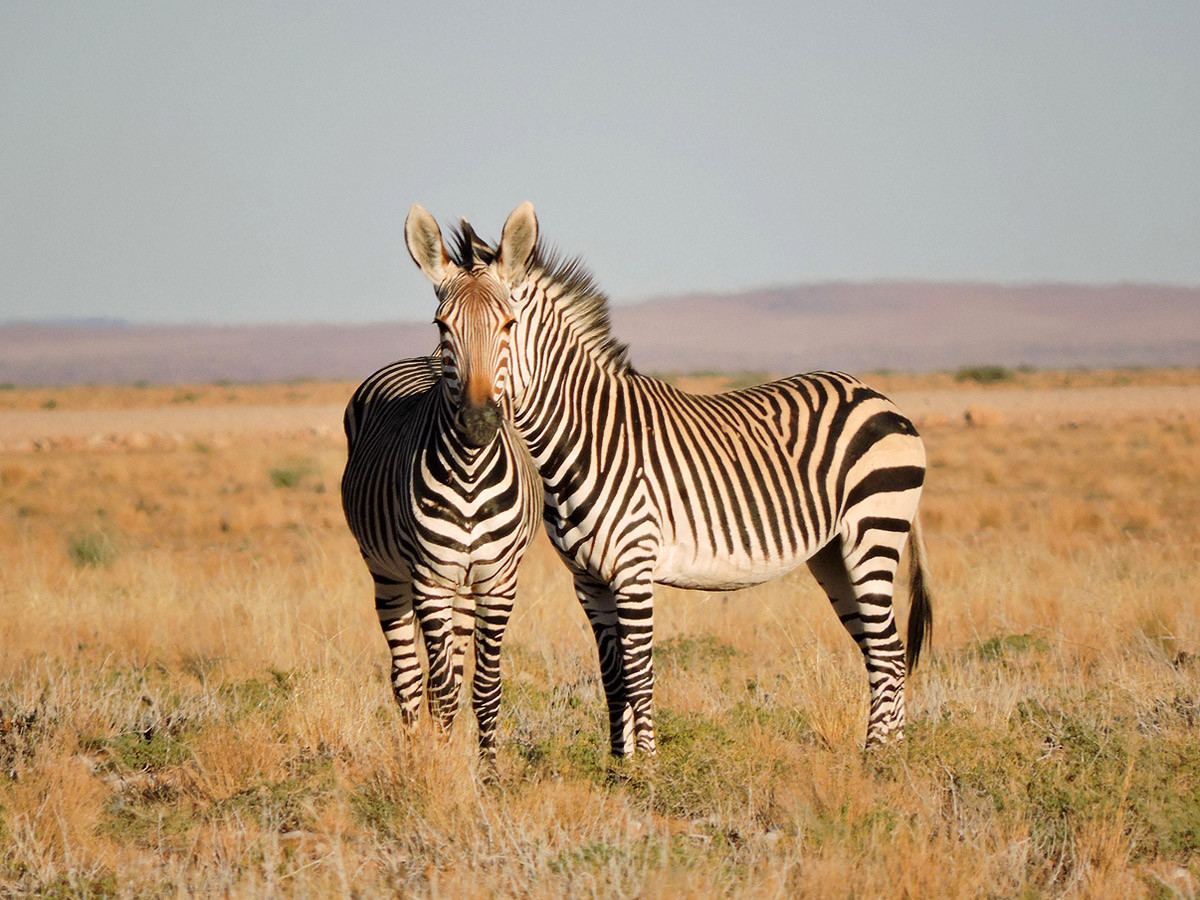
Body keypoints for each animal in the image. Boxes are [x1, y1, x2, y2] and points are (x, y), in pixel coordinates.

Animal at [340, 214, 542, 763]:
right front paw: (438, 770)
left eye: (509, 324)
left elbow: (485, 687)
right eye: (442, 325)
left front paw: (489, 772)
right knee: (409, 677)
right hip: (387, 573)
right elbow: (443, 688)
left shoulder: (498, 580)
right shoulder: (428, 579)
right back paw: (415, 753)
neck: (470, 473)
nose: (477, 423)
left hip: (463, 587)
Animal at [408, 202, 931, 753]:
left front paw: (649, 768)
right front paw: (620, 765)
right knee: (882, 654)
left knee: (890, 654)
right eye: (442, 328)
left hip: (873, 532)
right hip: (834, 554)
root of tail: (878, 395)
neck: (583, 438)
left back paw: (879, 759)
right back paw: (889, 755)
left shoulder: (634, 569)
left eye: (508, 325)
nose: (475, 422)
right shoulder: (587, 581)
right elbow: (613, 680)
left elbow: (640, 678)